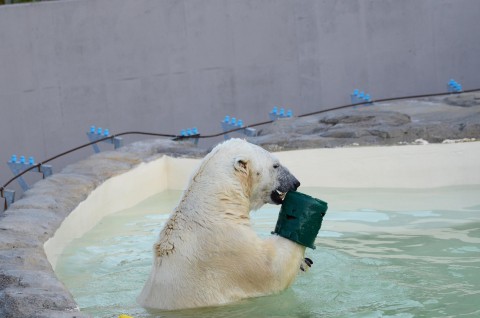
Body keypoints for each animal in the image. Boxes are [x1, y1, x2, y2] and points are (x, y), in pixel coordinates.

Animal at [137, 137, 308, 310]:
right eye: (276, 165)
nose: (296, 182)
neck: (214, 203)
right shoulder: (228, 246)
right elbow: (272, 269)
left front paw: (305, 262)